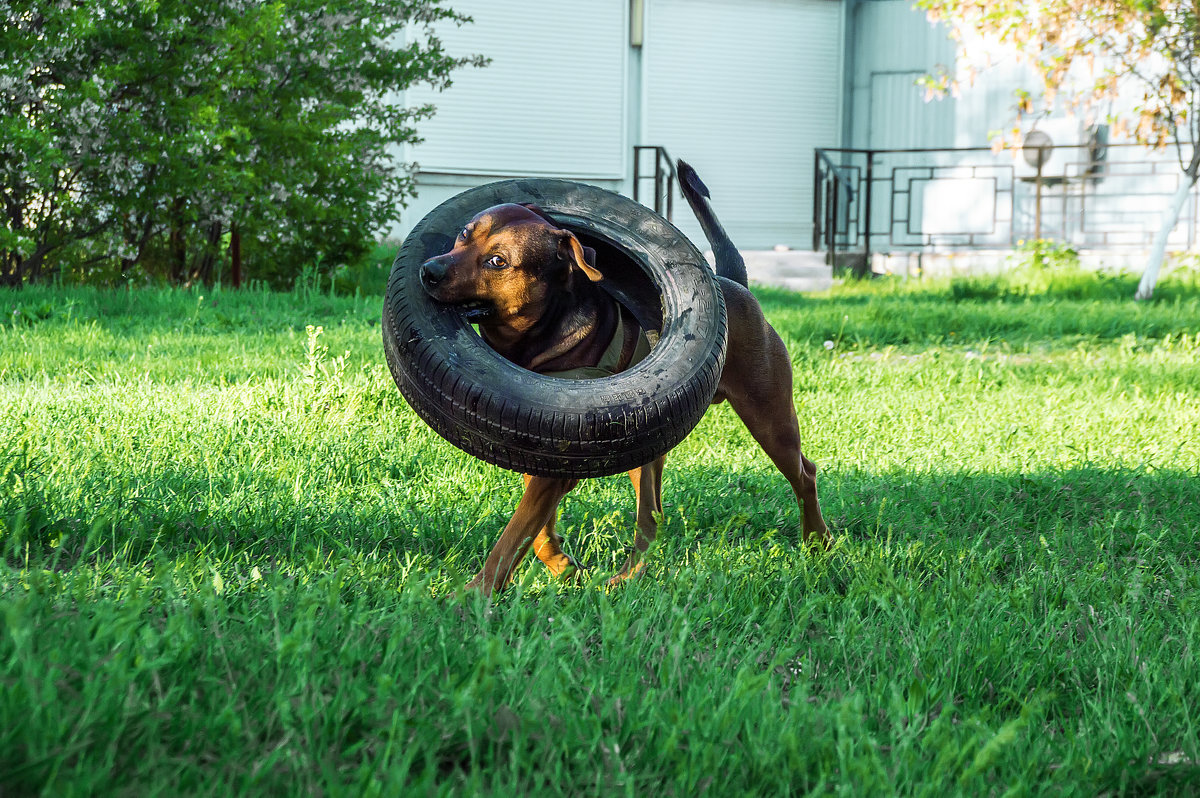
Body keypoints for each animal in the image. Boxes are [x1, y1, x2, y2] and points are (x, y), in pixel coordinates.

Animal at [420, 162, 825, 595]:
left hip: (769, 416)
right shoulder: (542, 453)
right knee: (652, 515)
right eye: (465, 234)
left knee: (804, 473)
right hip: (645, 449)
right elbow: (538, 527)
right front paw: (564, 566)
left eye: (498, 262)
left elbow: (516, 533)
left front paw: (473, 595)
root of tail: (732, 284)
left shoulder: (556, 460)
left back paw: (818, 542)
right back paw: (629, 577)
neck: (543, 332)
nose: (428, 271)